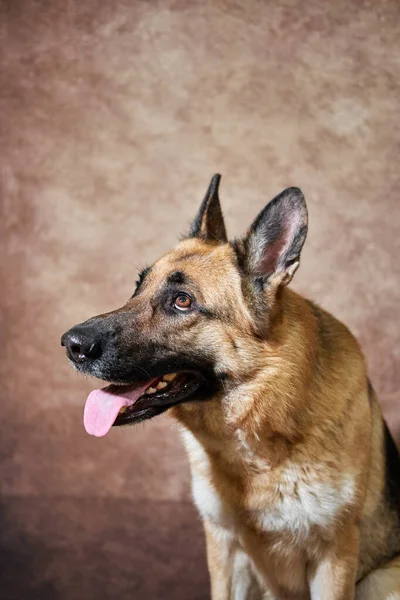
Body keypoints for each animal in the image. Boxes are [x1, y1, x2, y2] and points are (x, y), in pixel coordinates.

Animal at [61, 176, 398, 596]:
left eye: (182, 301)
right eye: (137, 288)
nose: (70, 344)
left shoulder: (334, 556)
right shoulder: (225, 552)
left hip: (382, 578)